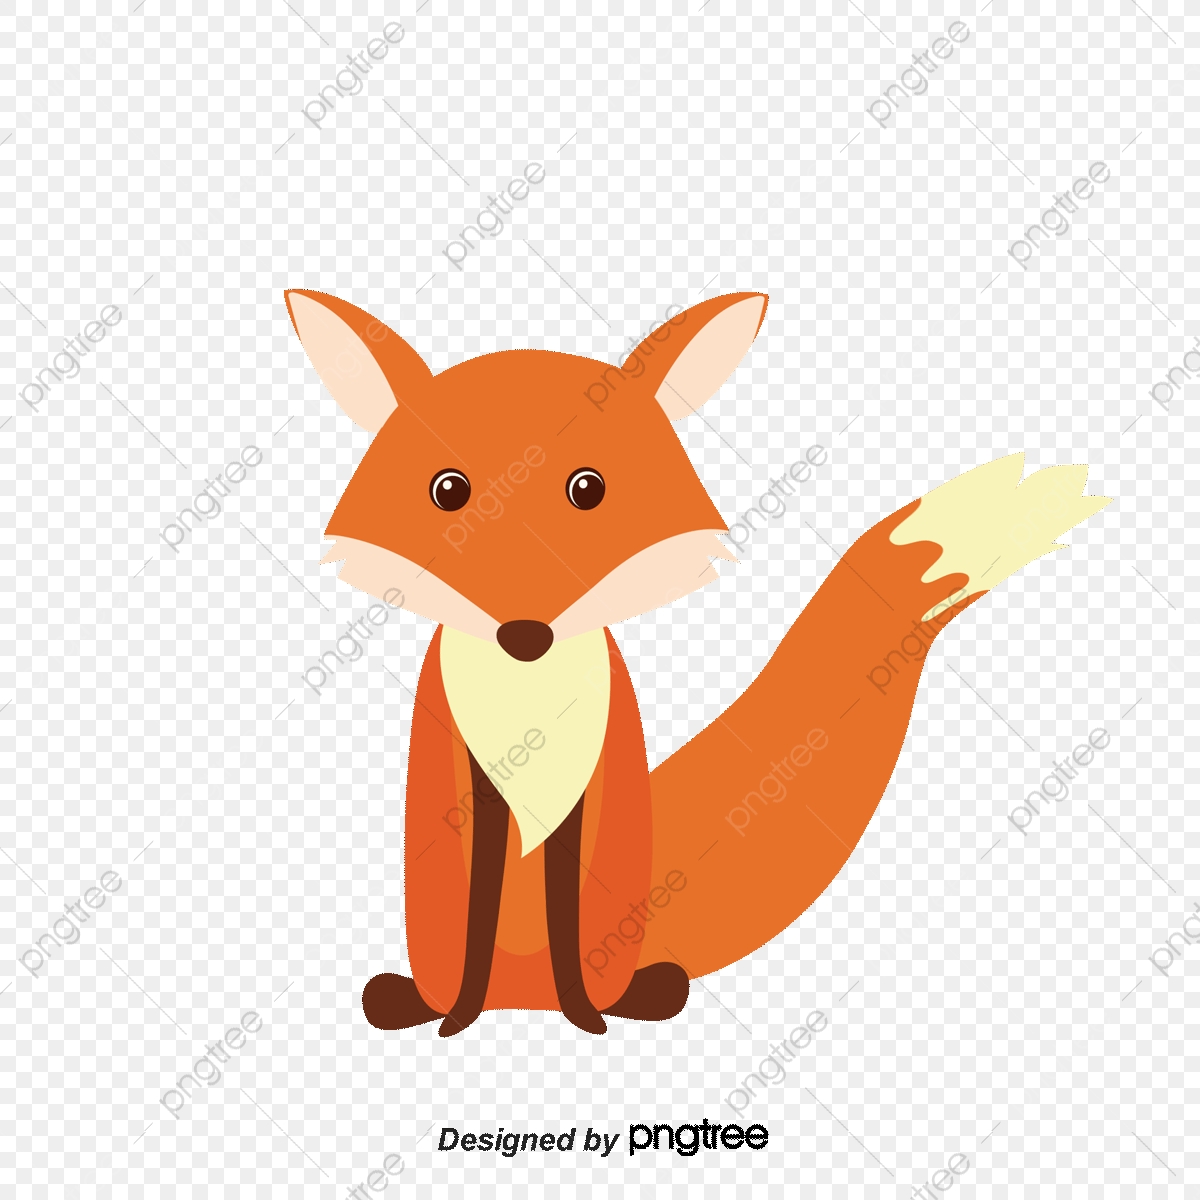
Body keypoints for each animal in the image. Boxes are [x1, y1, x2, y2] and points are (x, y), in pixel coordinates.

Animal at [284, 287, 1111, 1037]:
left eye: (590, 489)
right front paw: (457, 1022)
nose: (525, 633)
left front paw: (588, 1021)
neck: (527, 697)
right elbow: (479, 900)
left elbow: (565, 913)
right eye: (446, 491)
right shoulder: (467, 790)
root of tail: (524, 1000)